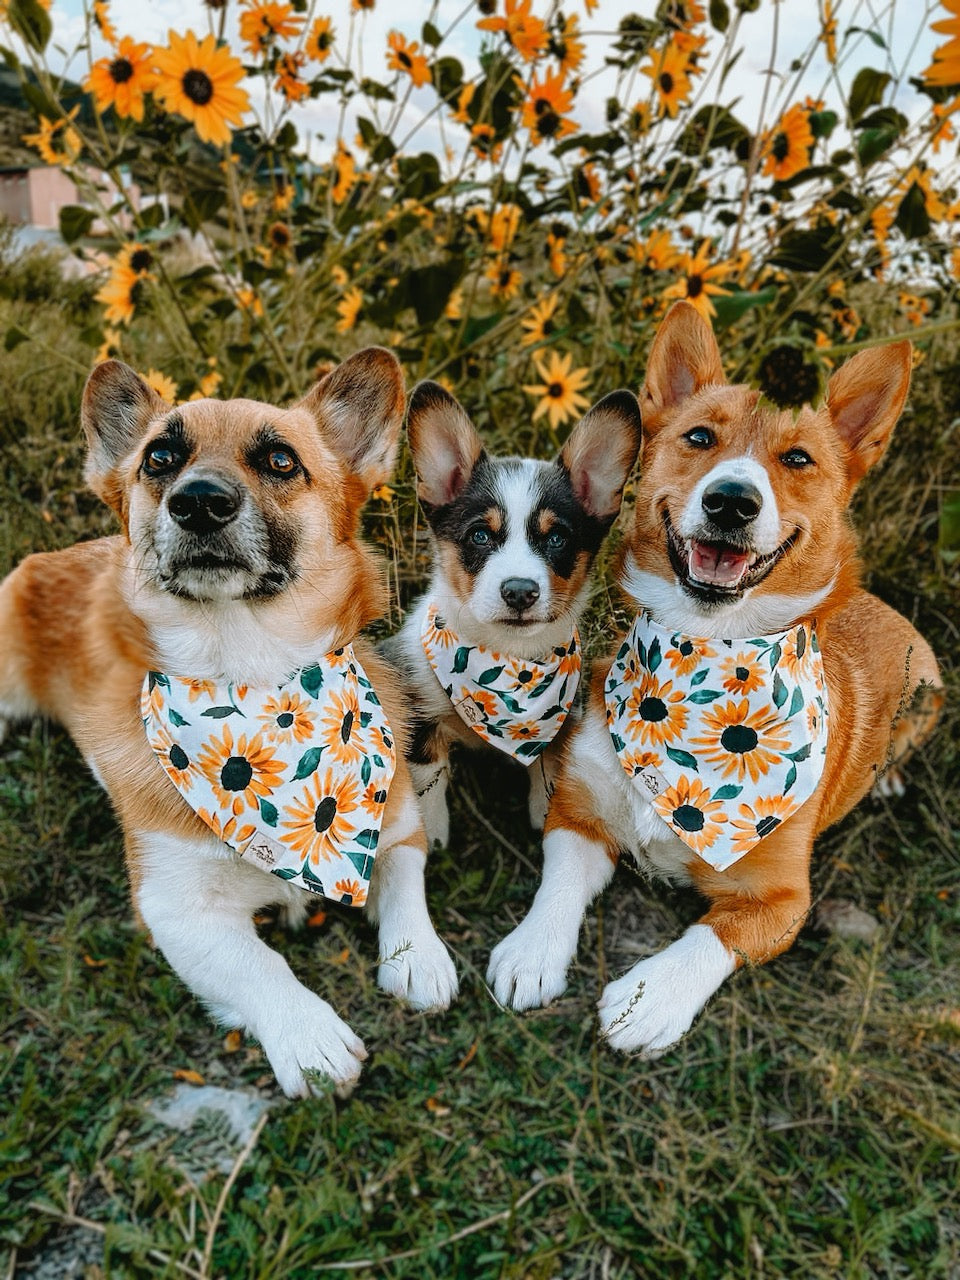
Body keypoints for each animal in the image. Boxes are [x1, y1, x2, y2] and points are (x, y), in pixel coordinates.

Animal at [0, 353, 460, 1100]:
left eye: (280, 460)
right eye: (159, 458)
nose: (199, 501)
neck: (254, 683)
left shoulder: (392, 828)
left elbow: (404, 888)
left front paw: (419, 958)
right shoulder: (174, 909)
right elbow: (260, 965)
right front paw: (310, 1036)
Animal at [378, 384, 642, 855]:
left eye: (557, 539)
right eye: (480, 535)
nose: (520, 591)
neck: (506, 661)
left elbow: (548, 762)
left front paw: (543, 810)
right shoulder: (417, 707)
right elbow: (430, 773)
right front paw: (434, 831)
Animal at [491, 304, 942, 1054]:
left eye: (797, 458)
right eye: (699, 437)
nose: (732, 501)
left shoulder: (783, 901)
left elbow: (709, 936)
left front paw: (647, 997)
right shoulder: (579, 817)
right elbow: (557, 882)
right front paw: (532, 951)